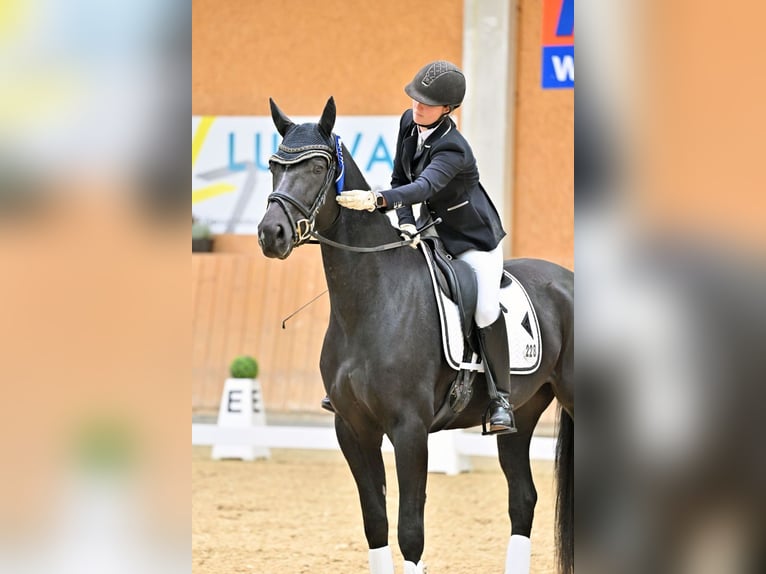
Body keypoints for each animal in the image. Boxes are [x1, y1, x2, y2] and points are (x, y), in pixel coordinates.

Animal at [257, 97, 574, 574]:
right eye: (274, 166)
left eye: (317, 166)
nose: (270, 234)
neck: (369, 304)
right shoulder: (352, 428)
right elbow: (375, 523)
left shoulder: (409, 429)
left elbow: (410, 531)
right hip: (523, 412)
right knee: (522, 499)